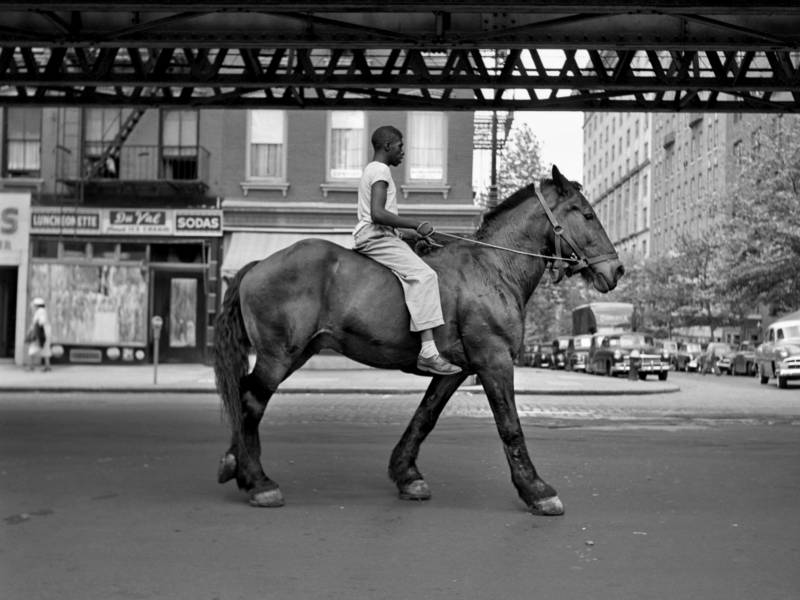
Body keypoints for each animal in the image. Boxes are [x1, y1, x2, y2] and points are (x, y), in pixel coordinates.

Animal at [214, 164, 624, 515]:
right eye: (586, 214)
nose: (616, 269)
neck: (494, 267)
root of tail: (258, 265)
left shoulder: (456, 370)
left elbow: (425, 416)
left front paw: (406, 474)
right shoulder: (494, 360)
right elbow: (509, 426)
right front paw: (537, 490)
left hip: (297, 352)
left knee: (245, 394)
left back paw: (236, 464)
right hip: (279, 355)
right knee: (250, 400)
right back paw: (258, 481)